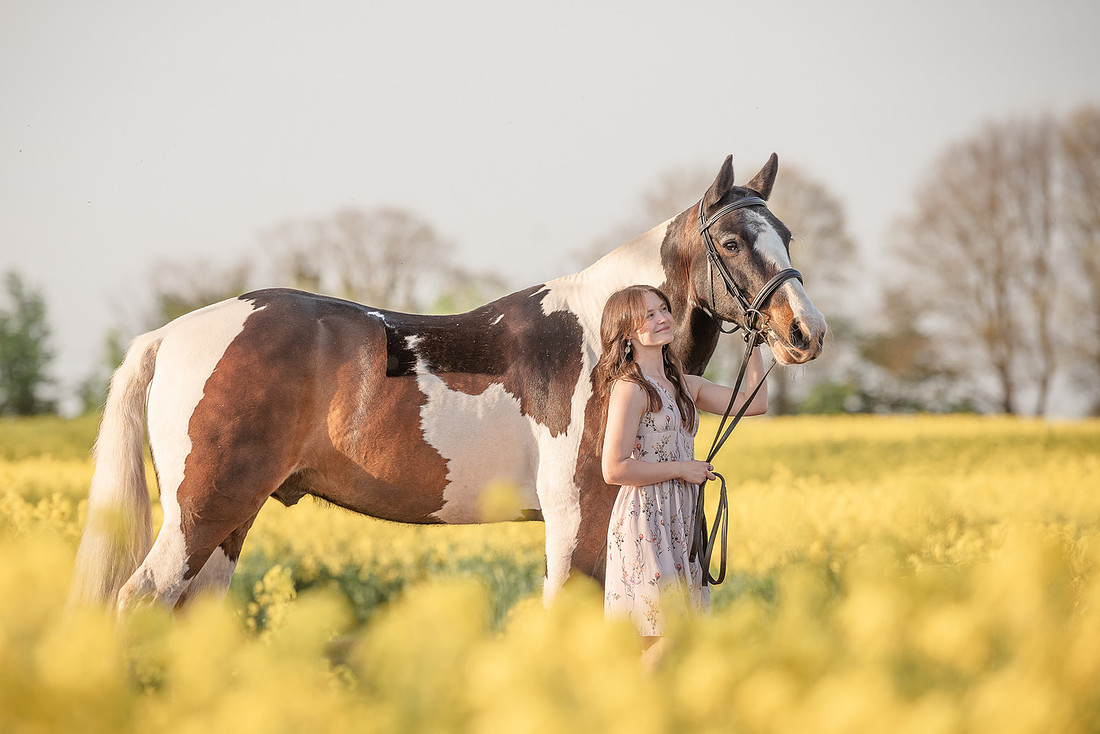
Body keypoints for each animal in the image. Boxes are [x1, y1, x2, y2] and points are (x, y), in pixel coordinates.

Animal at [68, 154, 827, 613]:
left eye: (788, 235)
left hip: (230, 518)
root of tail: (168, 336)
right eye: (730, 242)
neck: (601, 339)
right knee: (138, 600)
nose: (806, 332)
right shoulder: (576, 521)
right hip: (201, 514)